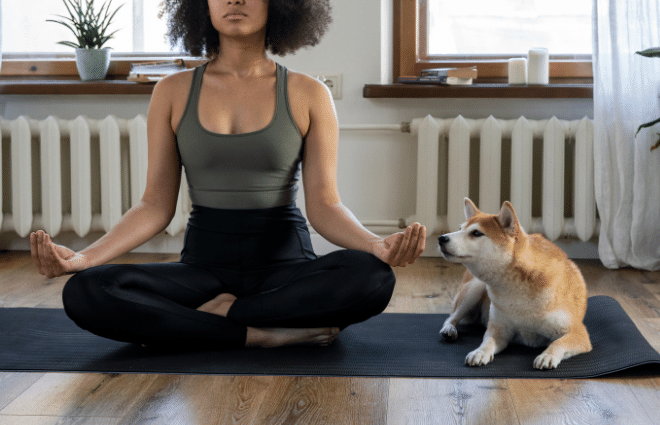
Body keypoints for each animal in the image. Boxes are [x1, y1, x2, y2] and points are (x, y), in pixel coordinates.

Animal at [438, 198, 592, 368]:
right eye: (460, 229)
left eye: (476, 233)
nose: (441, 238)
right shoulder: (498, 330)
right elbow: (487, 342)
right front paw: (479, 352)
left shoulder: (578, 333)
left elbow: (557, 343)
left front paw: (547, 356)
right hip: (474, 289)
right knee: (451, 317)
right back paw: (449, 329)